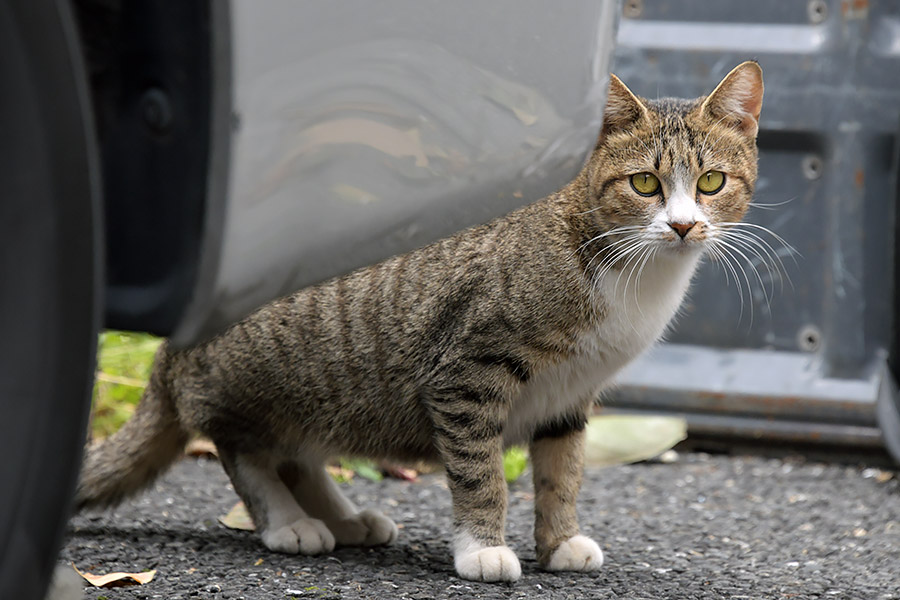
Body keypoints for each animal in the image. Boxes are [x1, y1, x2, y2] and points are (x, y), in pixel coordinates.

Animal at [75, 62, 768, 580]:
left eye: (711, 181)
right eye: (645, 184)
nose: (683, 225)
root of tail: (171, 351)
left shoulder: (570, 395)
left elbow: (562, 474)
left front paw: (559, 541)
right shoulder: (465, 372)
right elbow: (481, 473)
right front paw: (484, 548)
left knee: (298, 454)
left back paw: (345, 518)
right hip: (255, 379)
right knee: (243, 449)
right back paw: (289, 522)